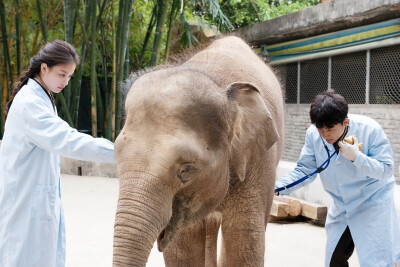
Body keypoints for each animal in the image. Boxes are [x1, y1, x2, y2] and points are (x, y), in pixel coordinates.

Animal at [113, 36, 284, 267]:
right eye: (116, 157)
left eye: (187, 170)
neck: (214, 79)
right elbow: (183, 249)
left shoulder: (259, 163)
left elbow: (244, 243)